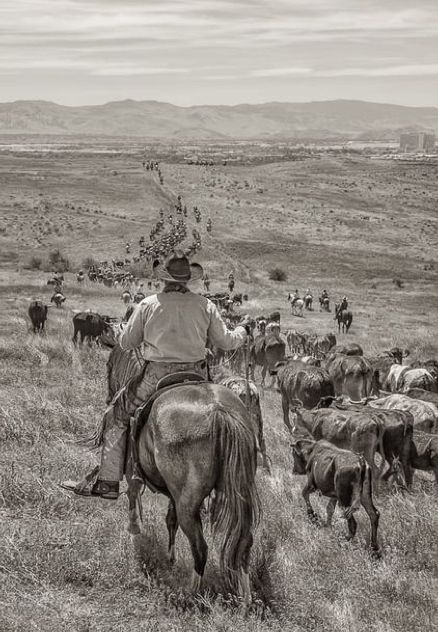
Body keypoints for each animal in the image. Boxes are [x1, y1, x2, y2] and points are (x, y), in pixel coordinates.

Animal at [125, 386, 258, 604]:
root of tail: (219, 412)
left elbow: (134, 499)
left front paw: (134, 533)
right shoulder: (174, 495)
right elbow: (171, 520)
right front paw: (170, 557)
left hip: (188, 506)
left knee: (200, 548)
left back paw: (191, 594)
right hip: (239, 494)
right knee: (244, 543)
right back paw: (245, 598)